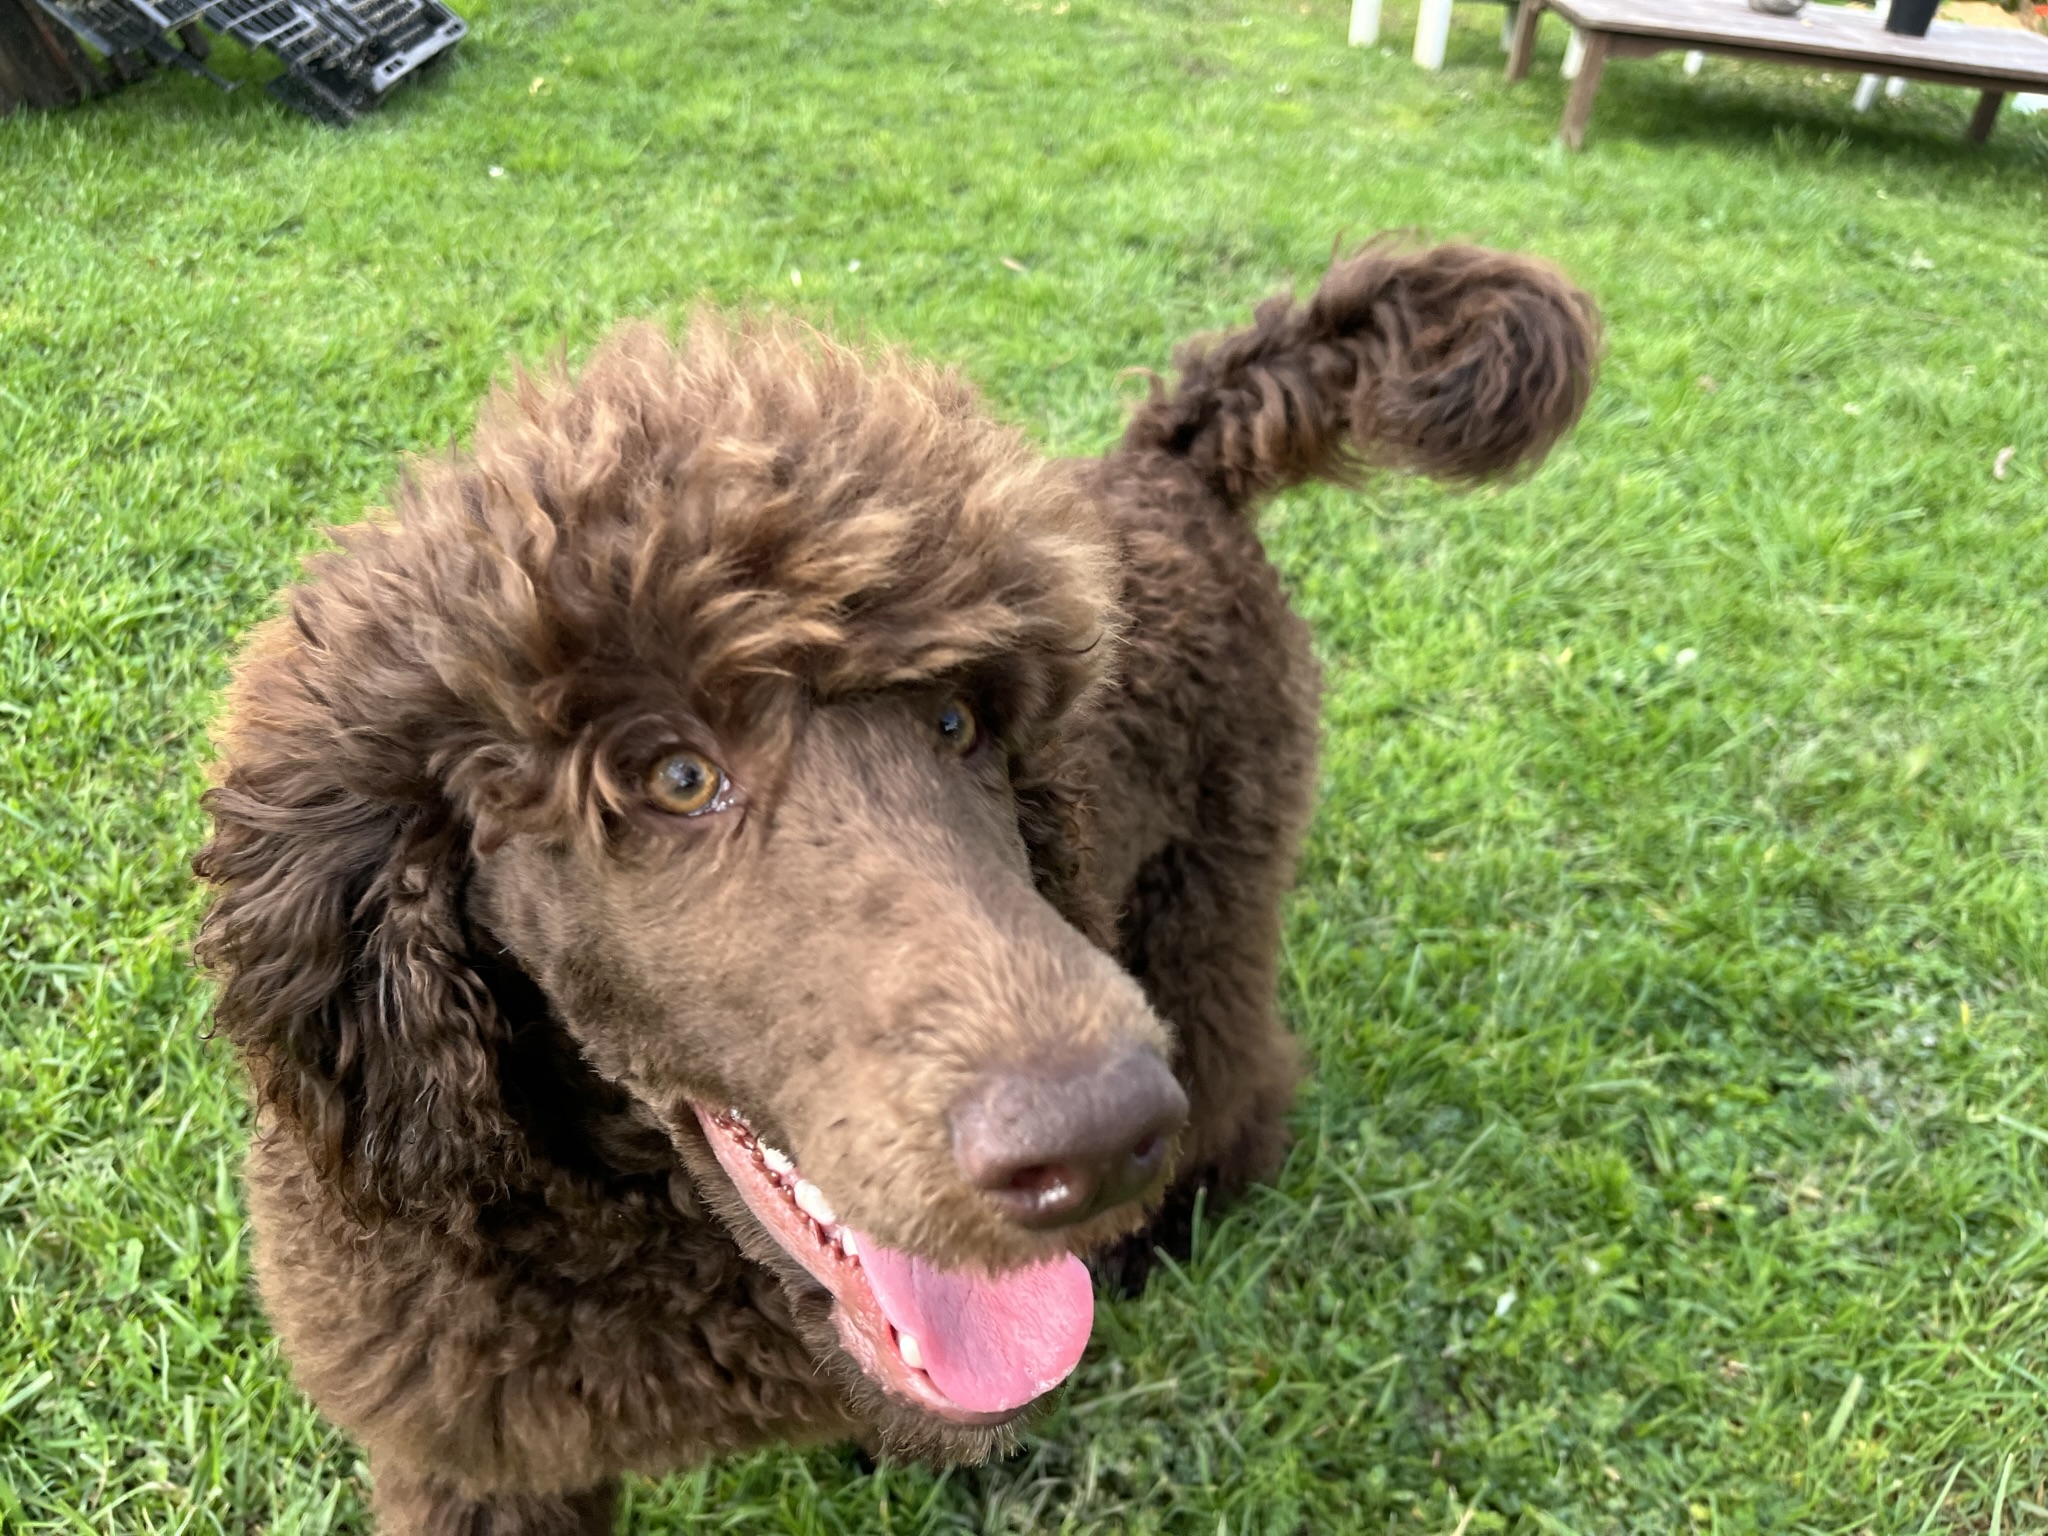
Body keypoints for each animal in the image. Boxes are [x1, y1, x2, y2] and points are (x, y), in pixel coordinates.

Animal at [192, 243, 1597, 1536]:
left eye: (958, 721)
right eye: (672, 777)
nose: (1096, 1143)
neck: (650, 1231)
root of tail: (1167, 461)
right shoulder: (477, 1456)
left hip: (1209, 889)